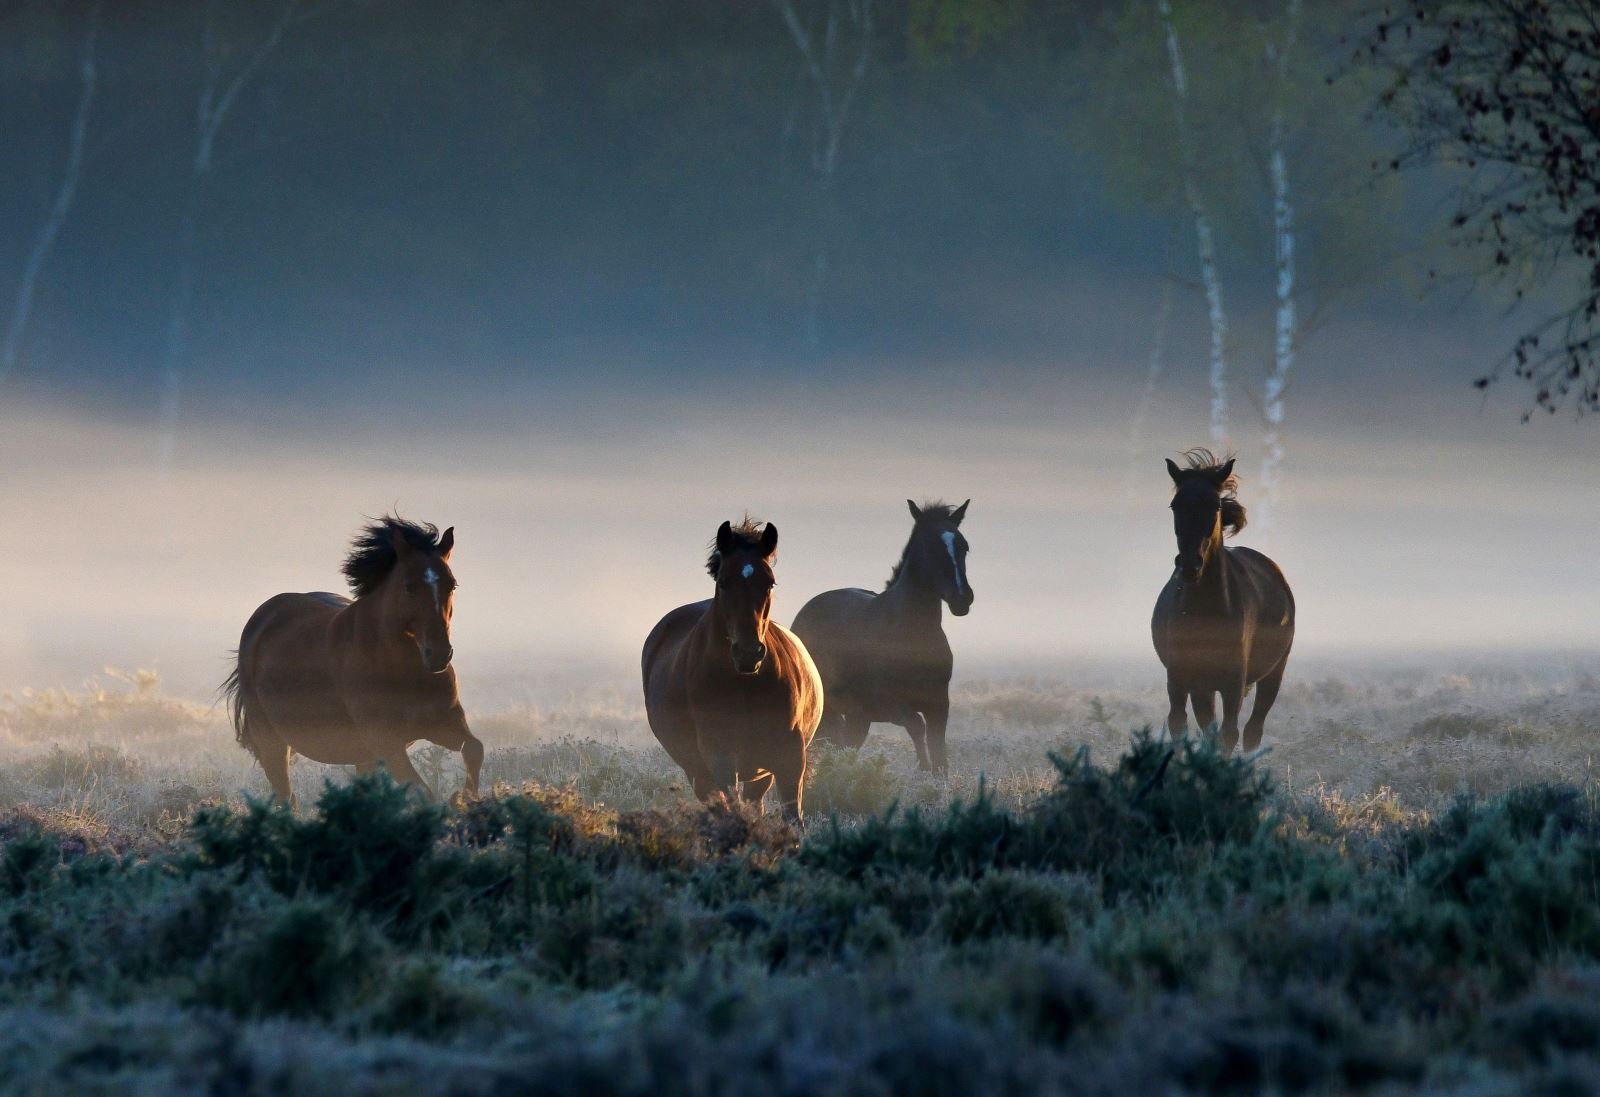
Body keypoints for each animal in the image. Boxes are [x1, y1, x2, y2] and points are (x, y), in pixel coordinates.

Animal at [220, 514, 480, 809]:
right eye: (409, 586)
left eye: (452, 584)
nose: (438, 654)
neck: (403, 668)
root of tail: (261, 619)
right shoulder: (385, 739)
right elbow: (422, 792)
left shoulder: (444, 723)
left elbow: (474, 749)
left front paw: (464, 797)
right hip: (272, 740)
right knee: (285, 794)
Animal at [640, 521, 825, 818]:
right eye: (724, 582)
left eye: (770, 582)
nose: (748, 653)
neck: (744, 685)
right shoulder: (721, 756)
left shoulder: (790, 757)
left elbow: (793, 816)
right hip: (699, 771)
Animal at [790, 502, 966, 777]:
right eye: (929, 547)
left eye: (964, 546)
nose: (962, 598)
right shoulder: (890, 705)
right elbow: (917, 727)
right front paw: (922, 768)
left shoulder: (939, 704)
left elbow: (939, 749)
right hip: (830, 710)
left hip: (857, 717)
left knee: (844, 746)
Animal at [1145, 454, 1292, 754]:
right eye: (1175, 505)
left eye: (1214, 506)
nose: (1190, 565)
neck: (1205, 610)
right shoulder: (1179, 678)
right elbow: (1179, 724)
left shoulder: (1233, 682)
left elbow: (1229, 733)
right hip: (1202, 686)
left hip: (1273, 672)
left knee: (1253, 729)